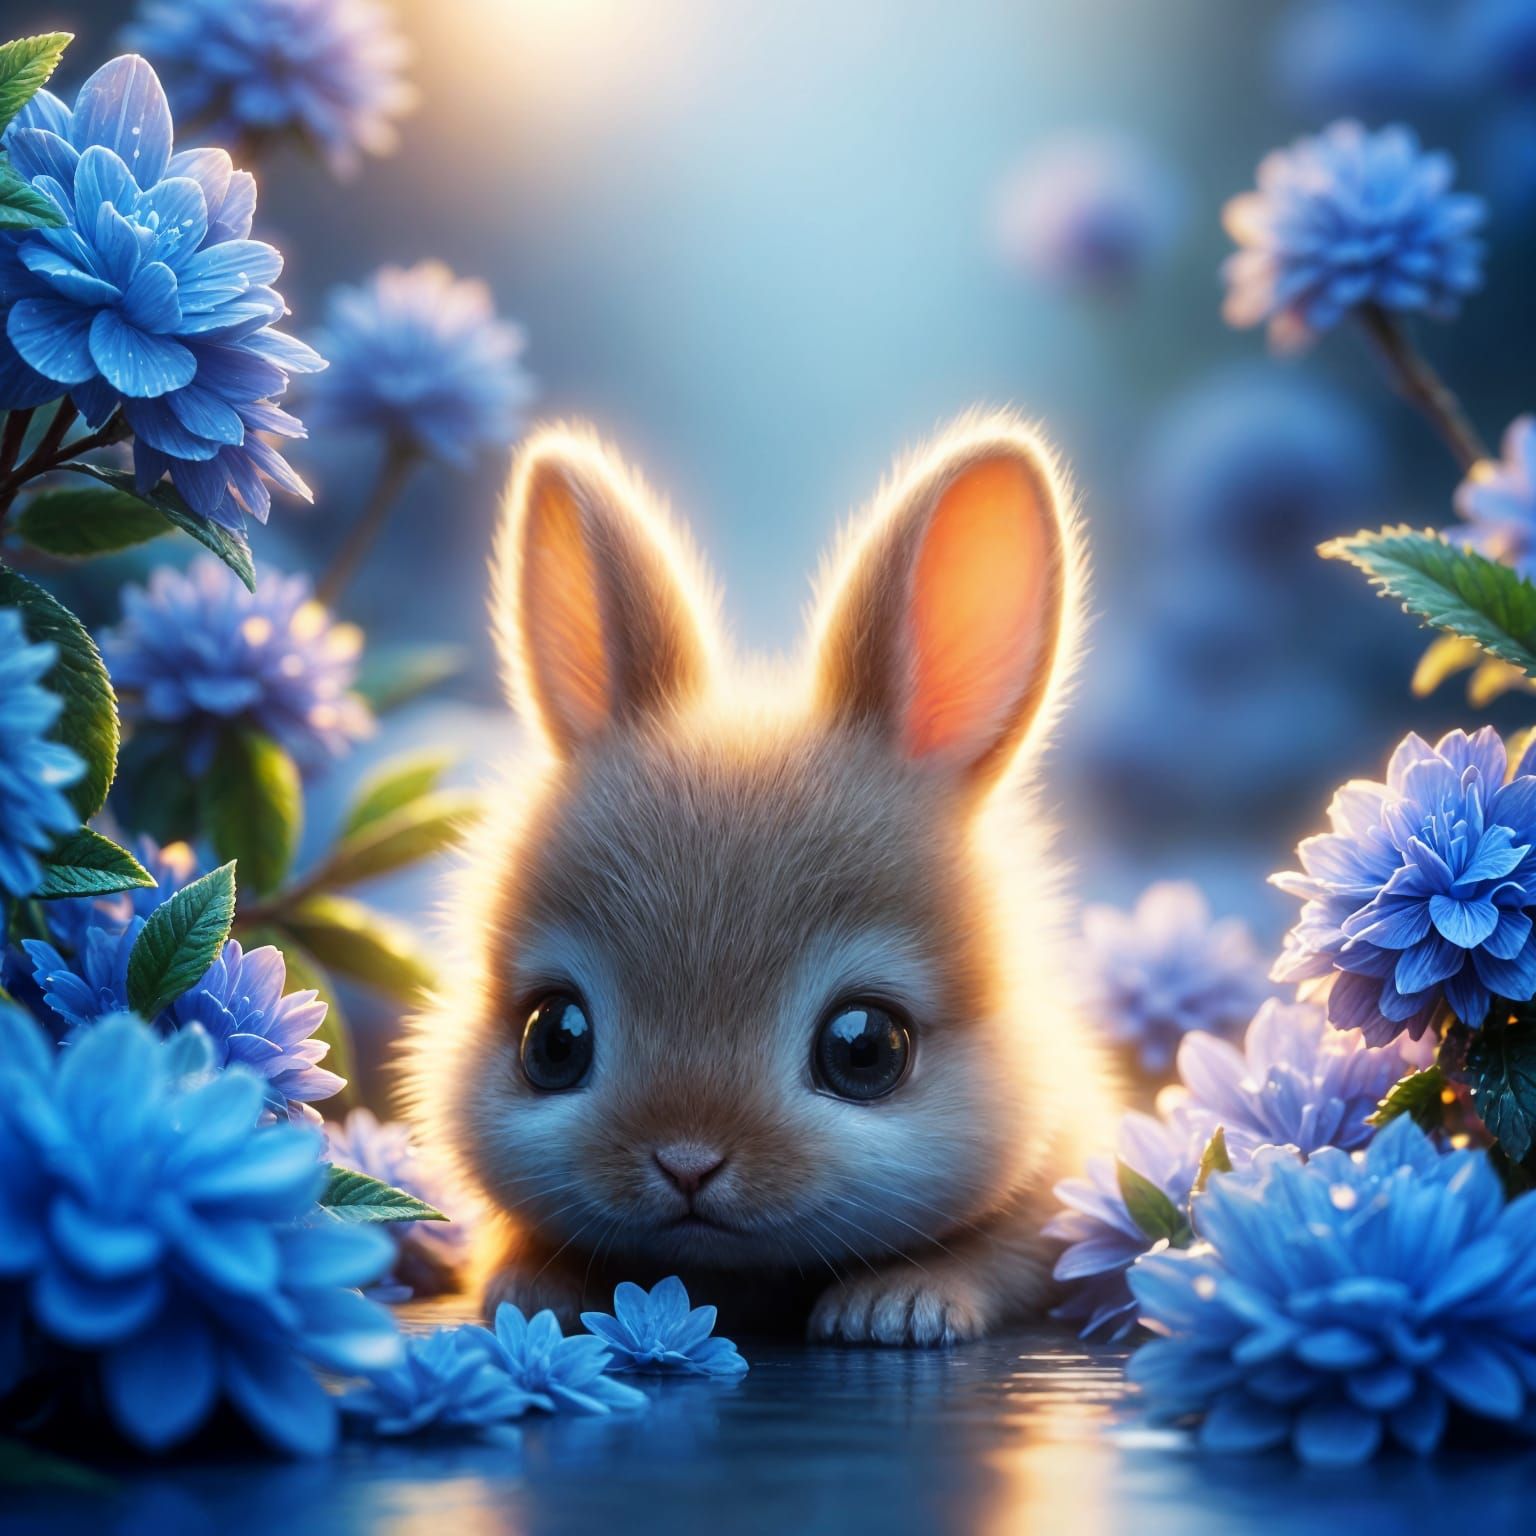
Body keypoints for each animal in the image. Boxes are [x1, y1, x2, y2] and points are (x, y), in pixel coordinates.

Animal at [402, 409, 1122, 1345]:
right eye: (553, 1039)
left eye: (866, 1049)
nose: (686, 1159)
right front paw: (536, 1293)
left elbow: (1001, 1256)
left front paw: (899, 1306)